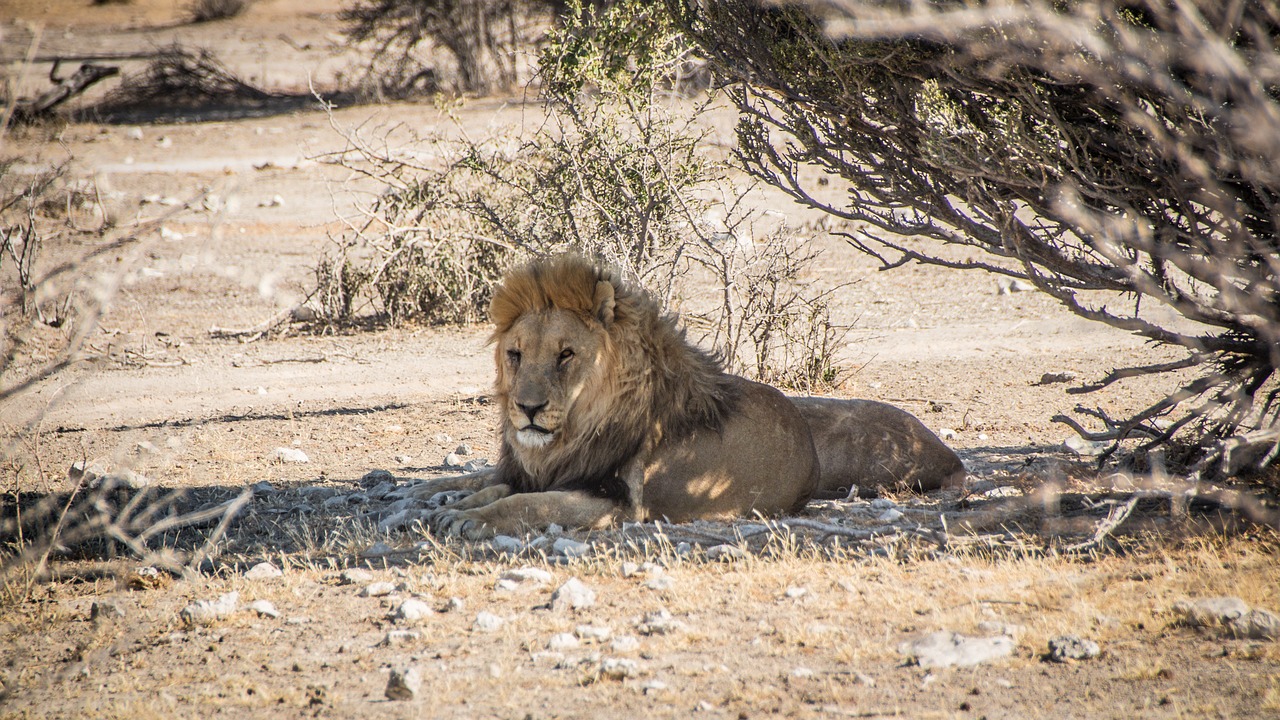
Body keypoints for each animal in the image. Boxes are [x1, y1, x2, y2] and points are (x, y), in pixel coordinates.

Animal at [414, 254, 962, 535]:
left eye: (565, 355)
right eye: (516, 354)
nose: (526, 409)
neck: (569, 436)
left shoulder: (616, 503)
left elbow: (528, 505)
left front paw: (466, 519)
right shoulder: (536, 472)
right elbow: (501, 488)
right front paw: (448, 506)